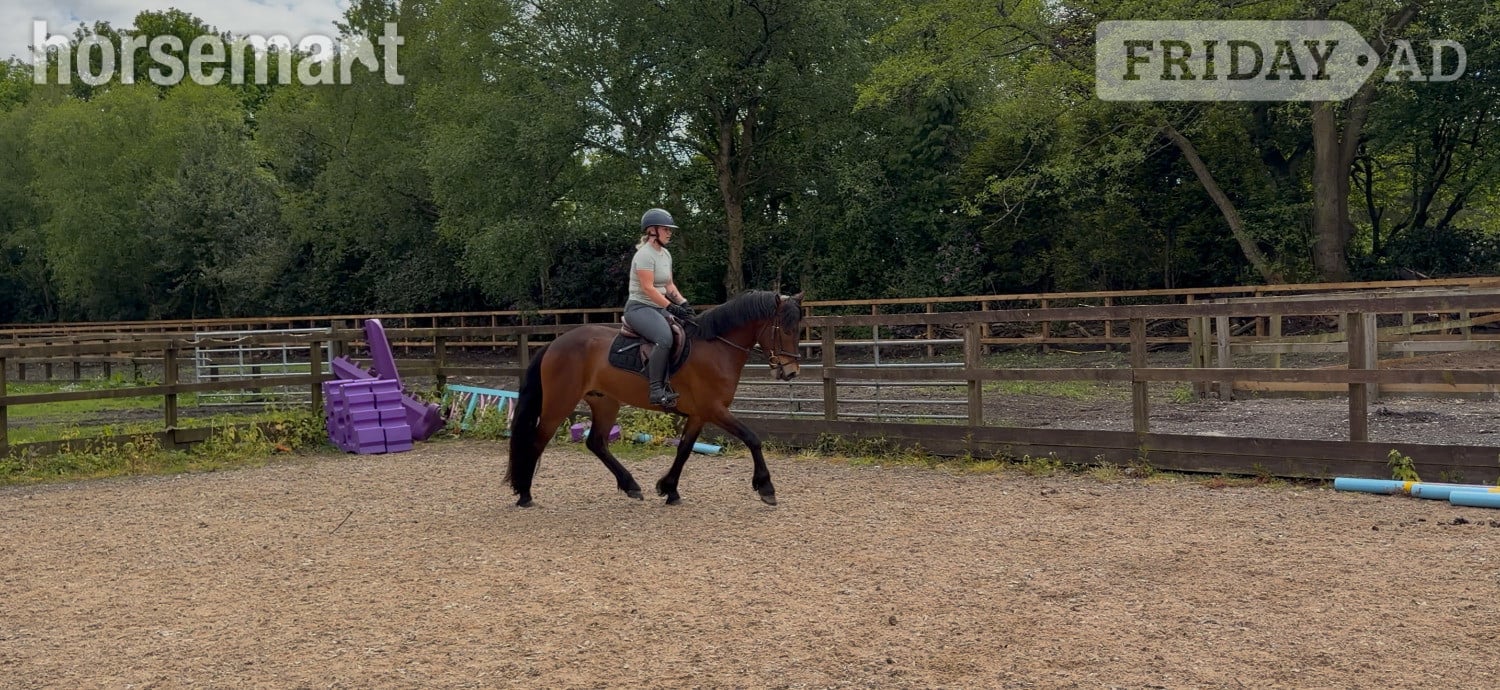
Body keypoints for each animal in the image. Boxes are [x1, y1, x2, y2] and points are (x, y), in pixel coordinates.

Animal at [506, 290, 805, 507]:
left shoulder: (699, 414)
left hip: (605, 402)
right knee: (537, 441)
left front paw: (669, 489)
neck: (716, 347)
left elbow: (684, 450)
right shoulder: (714, 409)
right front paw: (766, 488)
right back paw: (525, 494)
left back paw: (631, 486)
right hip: (559, 404)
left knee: (597, 442)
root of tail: (555, 343)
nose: (791, 371)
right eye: (785, 330)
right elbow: (752, 438)